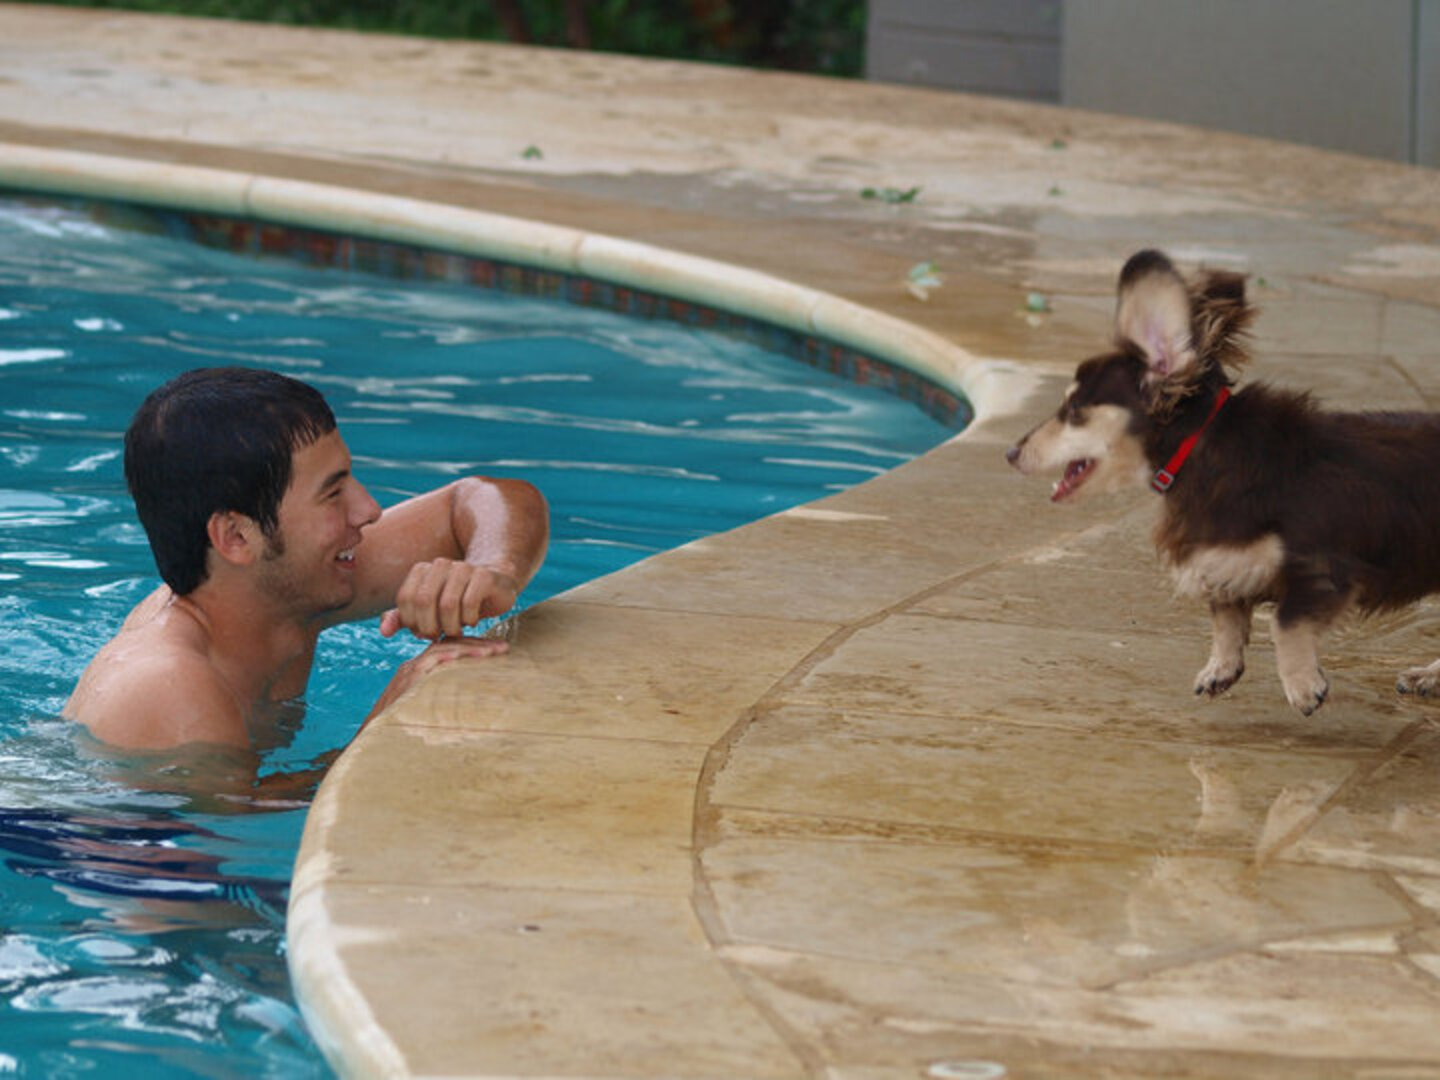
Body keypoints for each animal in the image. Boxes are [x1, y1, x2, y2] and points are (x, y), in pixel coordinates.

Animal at [1006, 249, 1440, 714]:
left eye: (1074, 410)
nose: (1011, 452)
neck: (1201, 450)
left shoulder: (1324, 565)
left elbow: (1284, 622)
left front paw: (1304, 687)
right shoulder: (1224, 566)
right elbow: (1226, 620)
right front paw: (1220, 671)